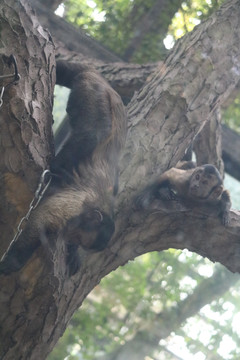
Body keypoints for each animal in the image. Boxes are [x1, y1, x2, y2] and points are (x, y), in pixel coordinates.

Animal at [0, 61, 127, 276]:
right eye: (78, 236)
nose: (70, 238)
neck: (99, 206)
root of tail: (102, 79)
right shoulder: (76, 205)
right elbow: (39, 222)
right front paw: (11, 263)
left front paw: (73, 253)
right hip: (93, 92)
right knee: (93, 131)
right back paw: (58, 168)